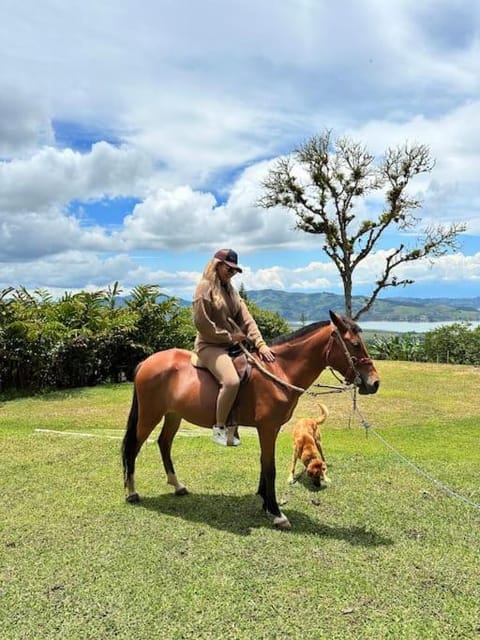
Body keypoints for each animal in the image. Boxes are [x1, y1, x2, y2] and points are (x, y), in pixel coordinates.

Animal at [122, 308, 380, 528]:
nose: (374, 383)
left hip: (173, 415)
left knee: (164, 443)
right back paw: (132, 492)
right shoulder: (267, 428)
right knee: (133, 447)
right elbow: (270, 467)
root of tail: (147, 362)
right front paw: (276, 512)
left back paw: (177, 485)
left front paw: (264, 502)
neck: (279, 371)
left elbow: (263, 464)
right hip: (150, 415)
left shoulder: (268, 429)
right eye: (355, 345)